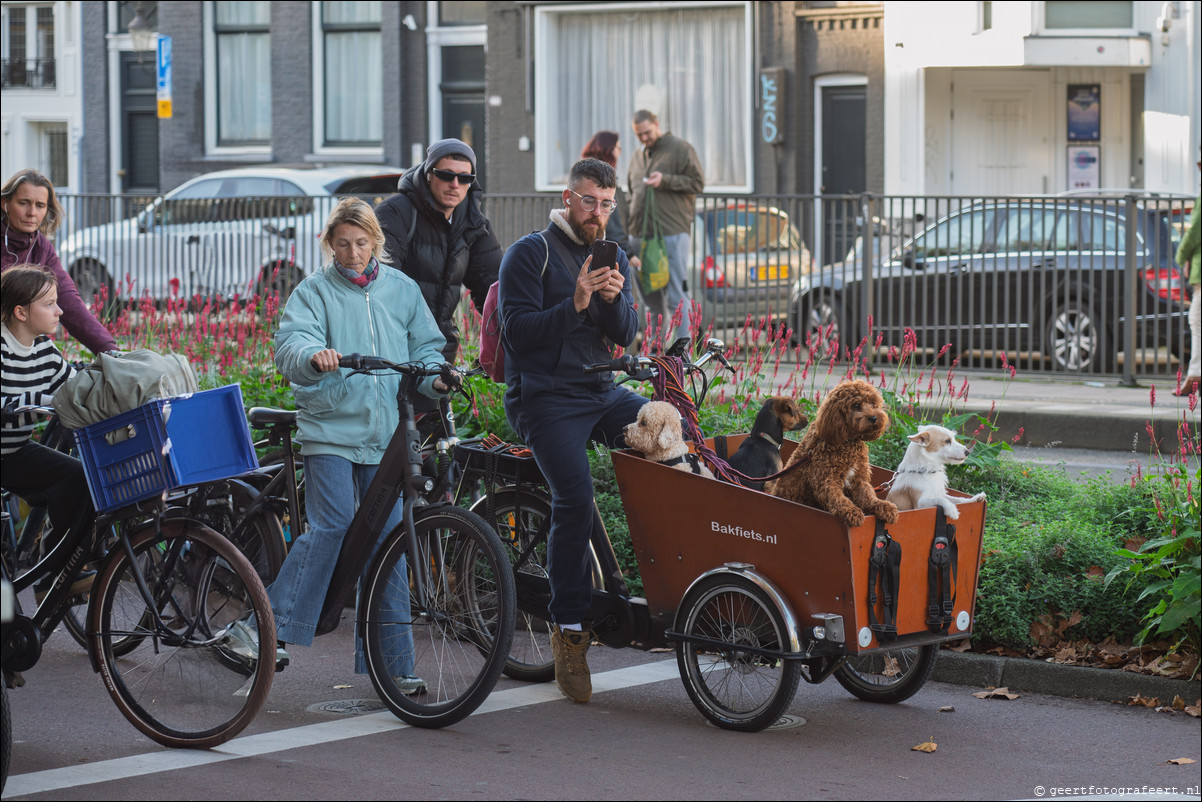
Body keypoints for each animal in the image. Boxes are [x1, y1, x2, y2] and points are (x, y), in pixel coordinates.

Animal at [769, 382, 903, 529]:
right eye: (856, 405)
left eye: (873, 403)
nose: (874, 418)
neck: (847, 442)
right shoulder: (826, 480)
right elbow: (838, 499)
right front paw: (852, 511)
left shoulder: (859, 479)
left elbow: (869, 495)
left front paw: (883, 506)